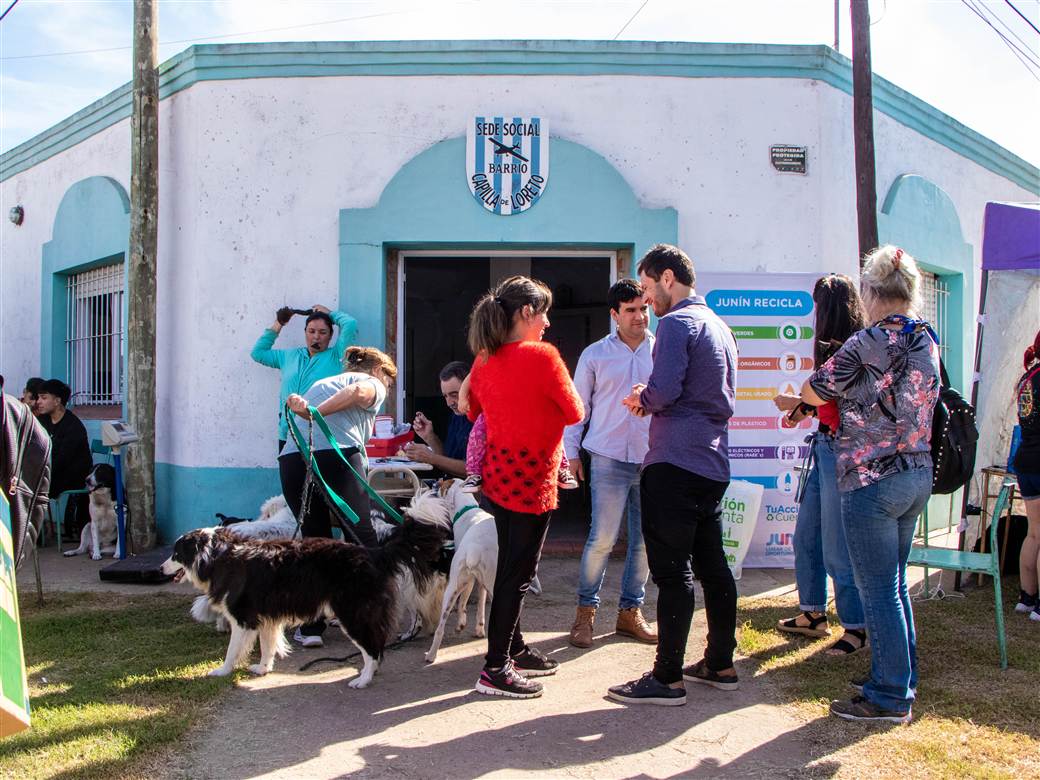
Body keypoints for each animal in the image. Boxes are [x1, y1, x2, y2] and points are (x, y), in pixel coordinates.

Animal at [162, 490, 451, 686]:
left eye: (176, 553)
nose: (161, 569)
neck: (219, 555)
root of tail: (373, 553)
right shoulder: (266, 618)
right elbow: (267, 647)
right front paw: (263, 669)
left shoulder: (244, 619)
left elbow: (232, 650)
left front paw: (221, 671)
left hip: (353, 612)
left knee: (373, 648)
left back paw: (363, 679)